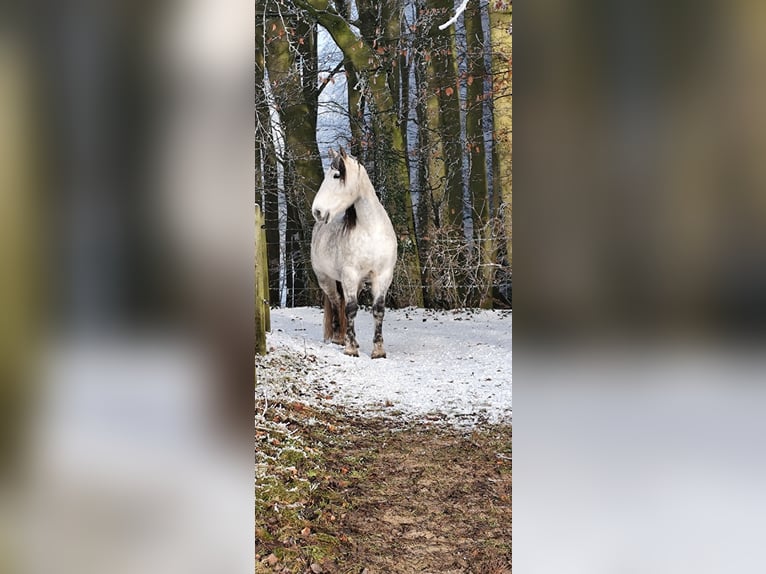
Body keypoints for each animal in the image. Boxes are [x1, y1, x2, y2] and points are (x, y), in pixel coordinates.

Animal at [310, 148, 398, 358]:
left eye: (336, 175)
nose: (317, 211)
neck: (371, 231)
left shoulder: (383, 276)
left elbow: (378, 310)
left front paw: (378, 350)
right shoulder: (349, 275)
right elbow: (350, 309)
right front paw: (350, 348)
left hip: (357, 283)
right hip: (325, 279)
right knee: (335, 302)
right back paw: (338, 338)